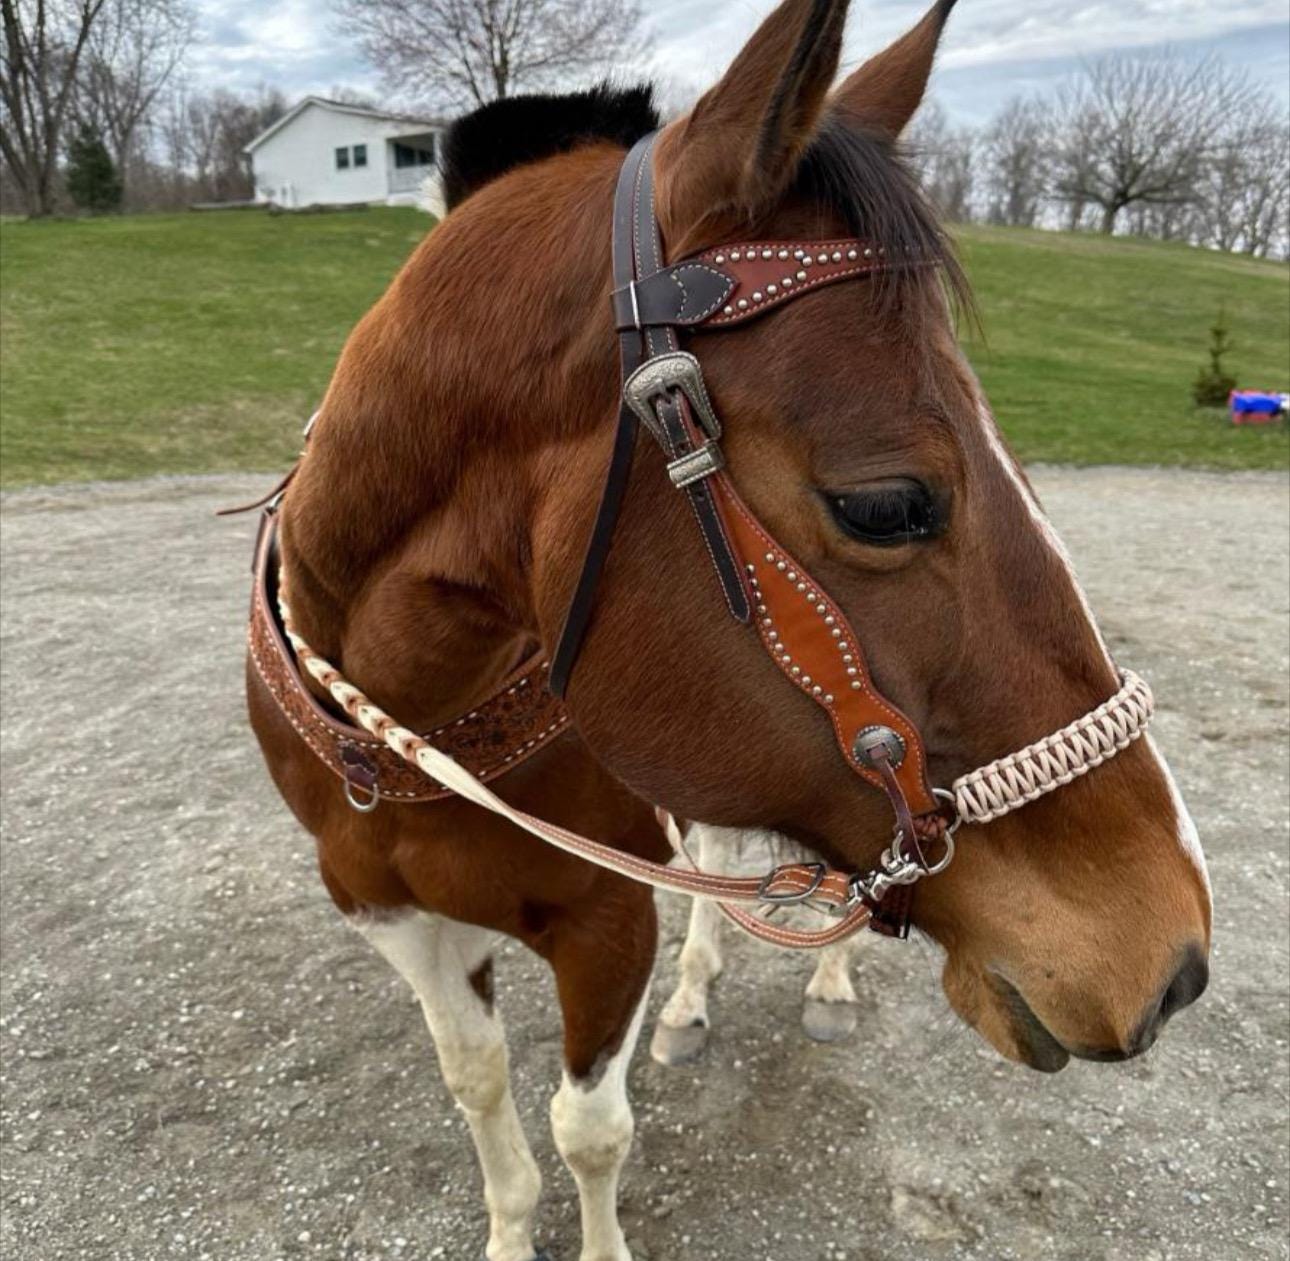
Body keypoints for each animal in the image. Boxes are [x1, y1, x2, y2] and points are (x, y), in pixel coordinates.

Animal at [244, 2, 1213, 1258]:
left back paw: (829, 982)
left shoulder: (605, 921)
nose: (1175, 957)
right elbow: (480, 1088)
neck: (411, 721)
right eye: (886, 504)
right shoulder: (398, 920)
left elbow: (587, 1128)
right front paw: (510, 1224)